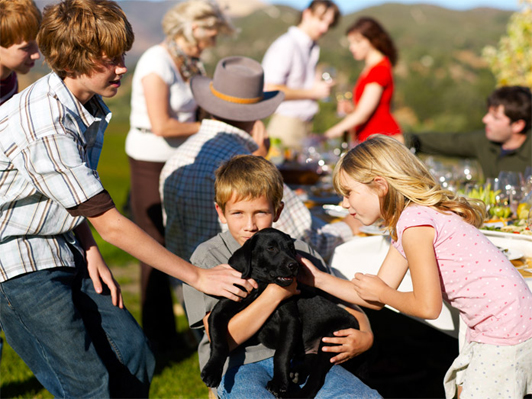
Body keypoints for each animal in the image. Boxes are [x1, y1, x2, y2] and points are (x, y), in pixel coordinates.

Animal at [201, 228, 362, 399]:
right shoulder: (219, 311)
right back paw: (297, 372)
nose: (294, 265)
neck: (262, 287)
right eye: (271, 248)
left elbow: (281, 354)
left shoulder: (290, 320)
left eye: (291, 247)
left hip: (332, 340)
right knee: (311, 357)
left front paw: (278, 383)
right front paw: (212, 371)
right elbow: (219, 342)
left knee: (316, 378)